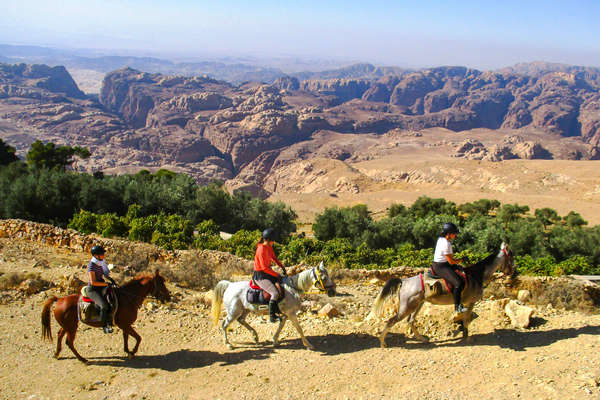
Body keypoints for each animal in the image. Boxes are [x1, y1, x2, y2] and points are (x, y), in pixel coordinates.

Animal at [41, 270, 171, 364]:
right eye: (161, 283)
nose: (168, 297)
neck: (128, 298)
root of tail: (59, 300)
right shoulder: (124, 324)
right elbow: (138, 338)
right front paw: (133, 352)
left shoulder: (125, 324)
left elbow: (126, 337)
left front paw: (127, 351)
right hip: (71, 327)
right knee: (69, 342)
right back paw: (82, 359)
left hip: (67, 326)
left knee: (60, 335)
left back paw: (57, 353)